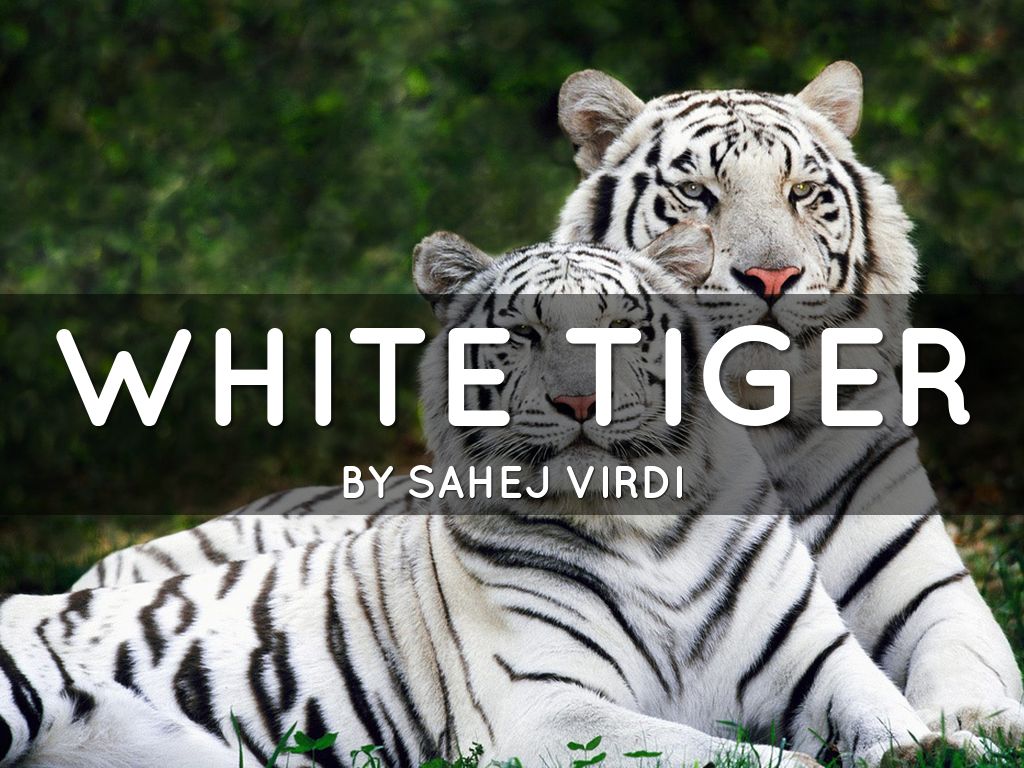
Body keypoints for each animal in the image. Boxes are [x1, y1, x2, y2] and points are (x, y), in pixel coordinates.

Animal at [3, 231, 972, 768]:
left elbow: (888, 712)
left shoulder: (817, 660)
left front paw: (946, 744)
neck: (648, 526)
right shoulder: (548, 710)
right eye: (524, 333)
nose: (577, 402)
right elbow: (729, 758)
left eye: (624, 328)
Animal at [74, 61, 1024, 740]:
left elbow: (965, 667)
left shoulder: (928, 594)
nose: (772, 277)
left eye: (805, 193)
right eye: (697, 194)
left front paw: (973, 726)